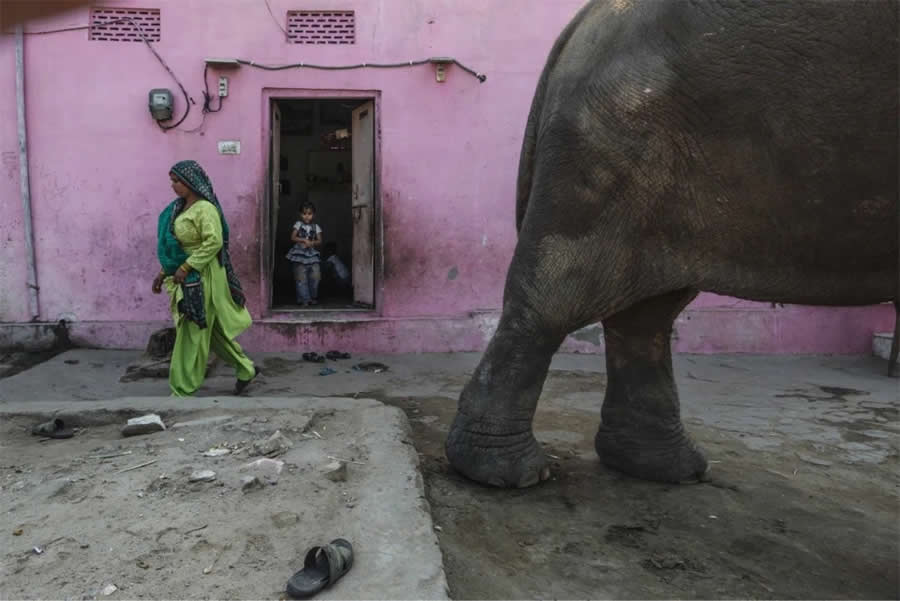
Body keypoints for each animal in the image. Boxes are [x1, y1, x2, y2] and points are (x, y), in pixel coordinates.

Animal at [445, 0, 898, 487]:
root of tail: (580, 26)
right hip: (611, 147)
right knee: (558, 297)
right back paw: (509, 474)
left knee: (646, 316)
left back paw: (668, 468)